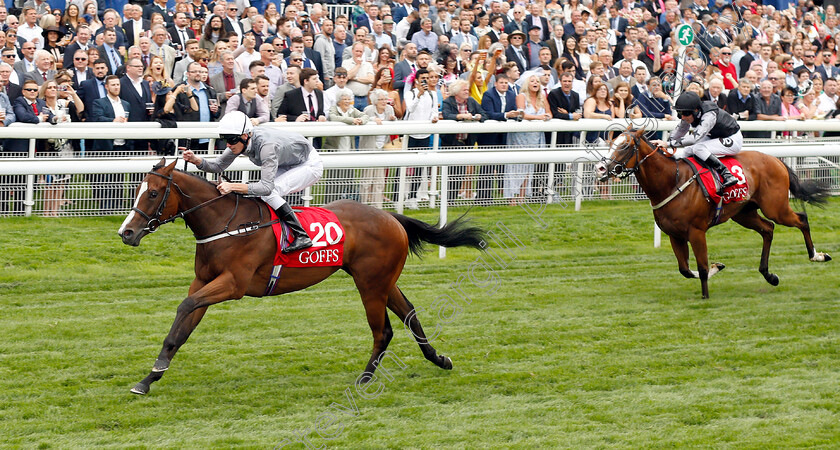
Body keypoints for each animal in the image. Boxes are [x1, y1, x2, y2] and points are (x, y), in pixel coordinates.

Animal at [118, 159, 486, 394]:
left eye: (153, 194)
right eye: (138, 190)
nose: (126, 232)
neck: (226, 223)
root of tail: (391, 217)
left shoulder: (232, 284)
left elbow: (184, 306)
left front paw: (155, 370)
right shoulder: (204, 282)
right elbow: (181, 327)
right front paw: (149, 377)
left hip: (371, 283)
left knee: (383, 331)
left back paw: (365, 379)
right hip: (383, 280)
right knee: (409, 314)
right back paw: (439, 359)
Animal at [592, 127, 832, 298]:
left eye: (625, 146)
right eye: (612, 143)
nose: (600, 168)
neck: (671, 181)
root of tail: (776, 160)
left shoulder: (696, 231)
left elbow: (701, 266)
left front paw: (705, 297)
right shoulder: (674, 235)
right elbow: (685, 269)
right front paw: (718, 267)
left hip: (776, 208)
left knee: (801, 219)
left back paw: (817, 255)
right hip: (744, 213)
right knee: (768, 229)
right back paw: (769, 275)